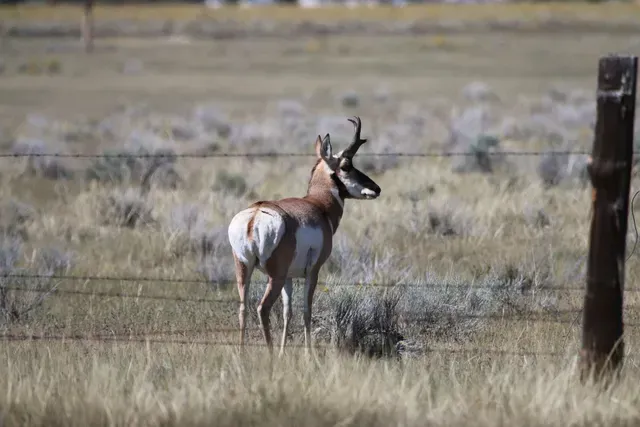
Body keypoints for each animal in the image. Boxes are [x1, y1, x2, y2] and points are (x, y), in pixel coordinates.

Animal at [227, 116, 382, 356]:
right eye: (346, 166)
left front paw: (284, 352)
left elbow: (287, 311)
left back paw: (243, 354)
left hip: (244, 269)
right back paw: (269, 354)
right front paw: (309, 354)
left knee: (243, 308)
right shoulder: (313, 272)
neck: (318, 204)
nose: (376, 188)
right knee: (263, 308)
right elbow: (307, 310)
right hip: (275, 276)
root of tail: (255, 214)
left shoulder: (290, 277)